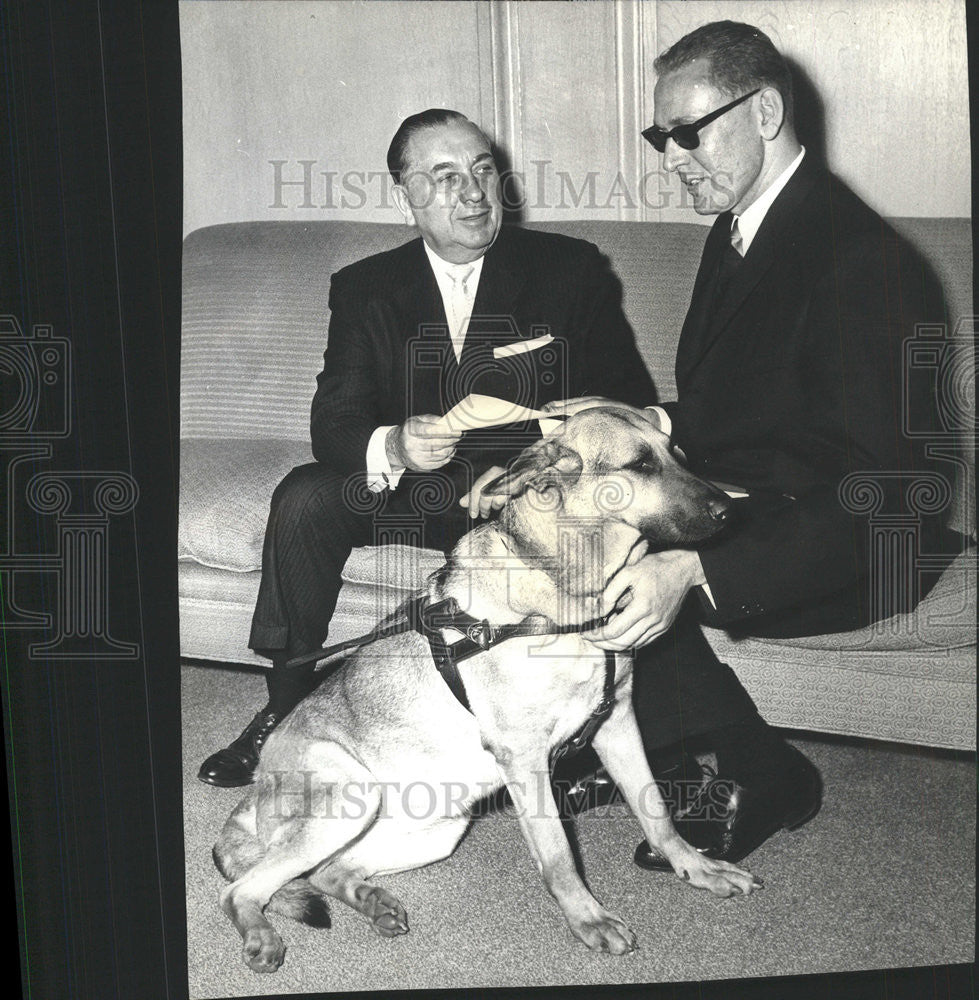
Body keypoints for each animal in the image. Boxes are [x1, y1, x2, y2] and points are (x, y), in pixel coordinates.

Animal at [216, 404, 764, 968]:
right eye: (639, 464)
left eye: (676, 453)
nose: (732, 511)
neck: (564, 590)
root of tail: (254, 790)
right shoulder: (525, 756)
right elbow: (558, 853)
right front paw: (587, 919)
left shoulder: (617, 723)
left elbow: (656, 811)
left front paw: (695, 868)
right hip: (350, 797)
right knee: (241, 890)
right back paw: (261, 936)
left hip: (434, 829)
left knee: (328, 872)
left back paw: (375, 903)